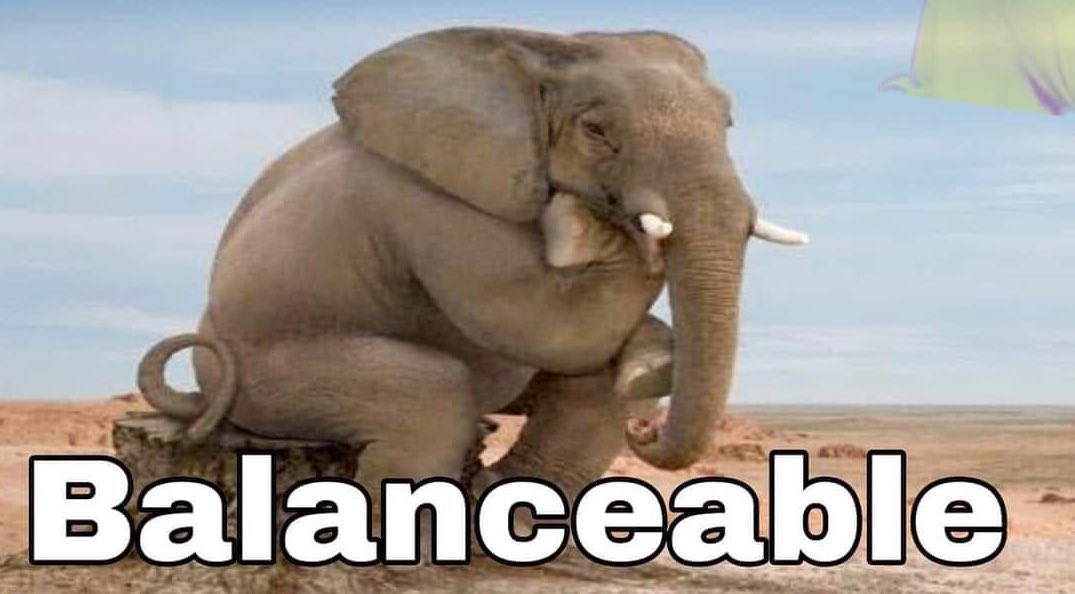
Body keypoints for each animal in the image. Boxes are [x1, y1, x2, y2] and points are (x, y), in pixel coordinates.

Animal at [137, 27, 808, 517]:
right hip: (270, 379)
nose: (647, 433)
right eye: (596, 131)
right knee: (432, 395)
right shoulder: (435, 201)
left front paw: (647, 357)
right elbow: (536, 322)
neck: (534, 53)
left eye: (728, 125)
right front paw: (598, 238)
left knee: (593, 388)